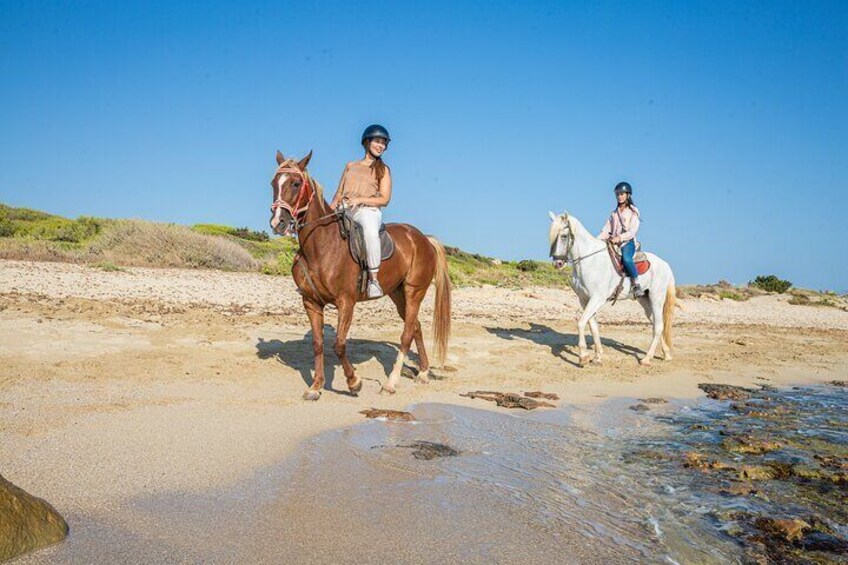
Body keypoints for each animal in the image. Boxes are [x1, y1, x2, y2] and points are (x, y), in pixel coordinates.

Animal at [268, 148, 450, 398]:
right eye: (273, 183)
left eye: (296, 183)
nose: (277, 223)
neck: (322, 246)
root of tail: (424, 238)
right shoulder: (311, 302)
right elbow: (318, 344)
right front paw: (316, 386)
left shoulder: (346, 302)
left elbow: (339, 344)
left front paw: (354, 381)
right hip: (397, 293)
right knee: (416, 327)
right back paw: (422, 372)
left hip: (414, 291)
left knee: (406, 334)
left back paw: (391, 382)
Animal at [548, 212, 676, 366]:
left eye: (564, 236)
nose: (558, 263)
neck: (590, 261)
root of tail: (666, 265)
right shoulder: (584, 300)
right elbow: (593, 326)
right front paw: (597, 357)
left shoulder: (597, 298)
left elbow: (581, 323)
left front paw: (583, 357)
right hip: (645, 300)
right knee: (656, 324)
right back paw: (666, 354)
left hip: (656, 299)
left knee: (658, 326)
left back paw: (646, 359)